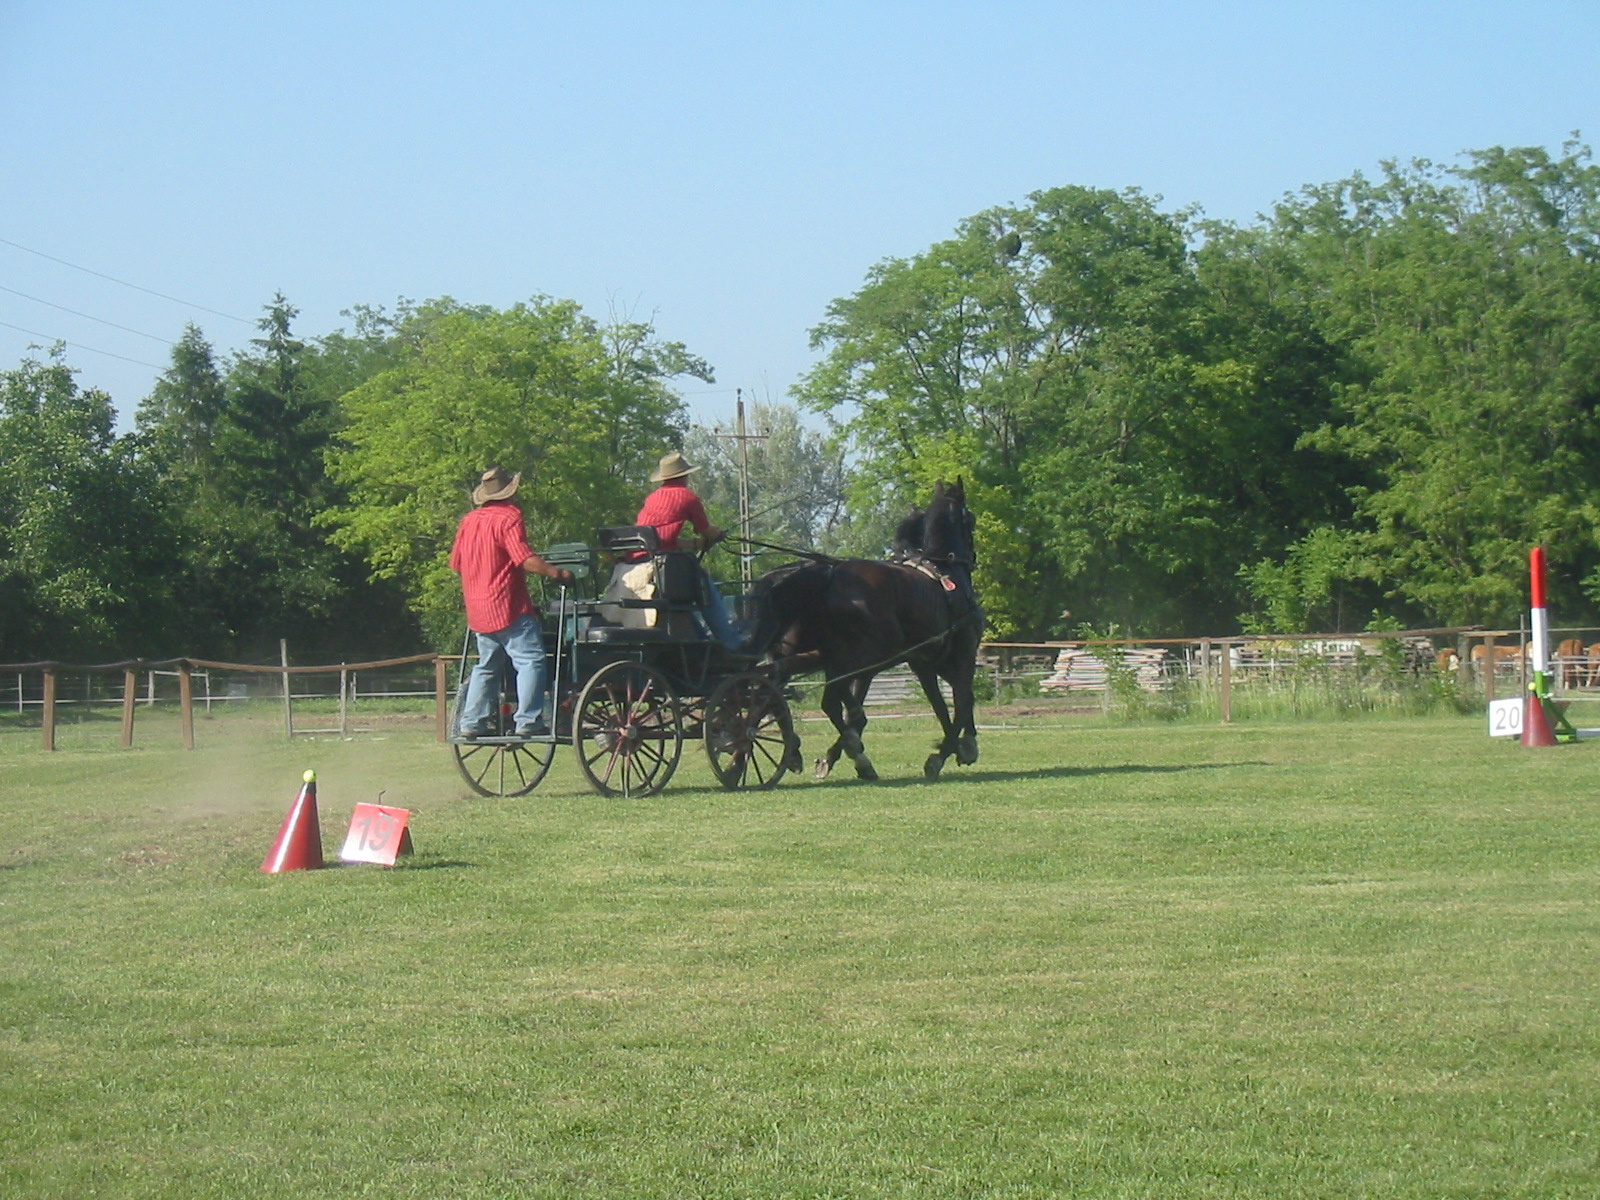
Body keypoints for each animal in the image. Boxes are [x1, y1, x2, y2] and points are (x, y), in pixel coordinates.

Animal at [742, 483, 979, 784]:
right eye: (970, 518)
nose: (972, 558)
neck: (944, 573)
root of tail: (828, 574)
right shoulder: (961, 652)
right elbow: (962, 699)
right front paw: (954, 749)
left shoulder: (920, 663)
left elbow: (943, 704)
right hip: (851, 657)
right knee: (825, 702)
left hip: (805, 657)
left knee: (770, 693)